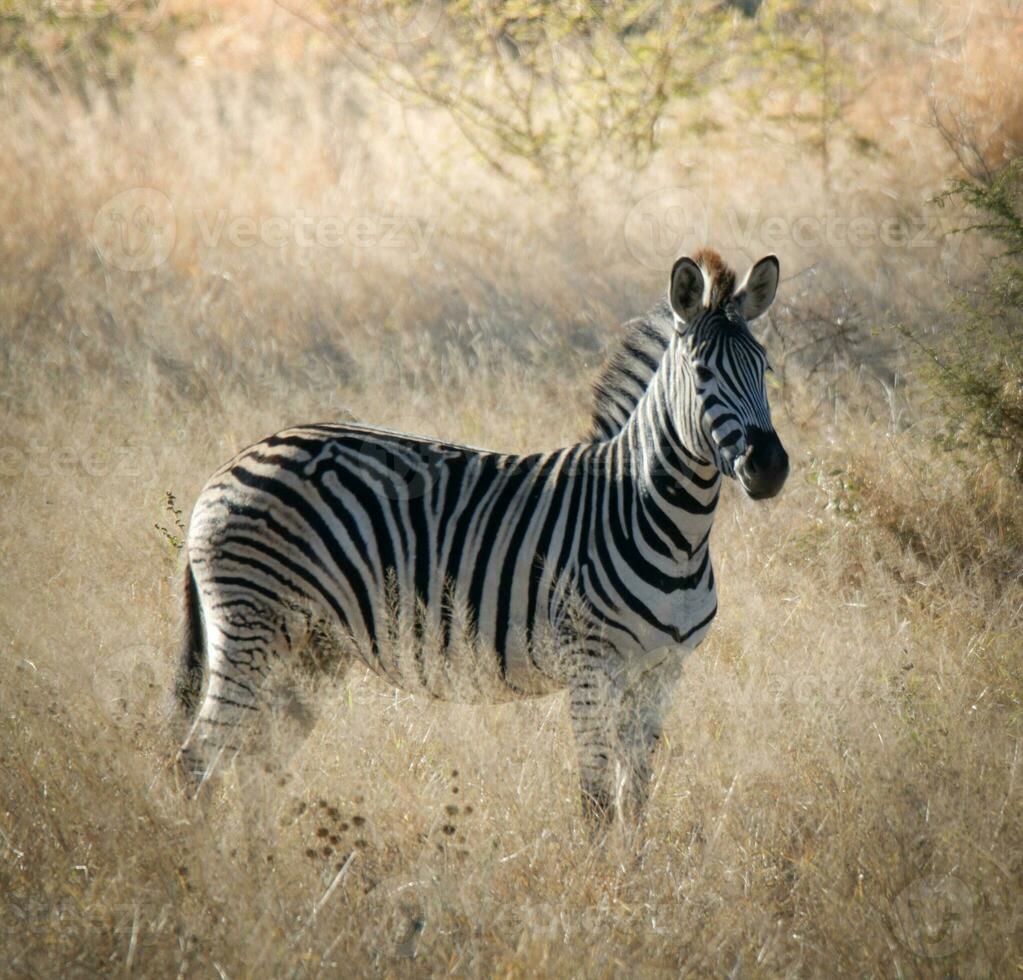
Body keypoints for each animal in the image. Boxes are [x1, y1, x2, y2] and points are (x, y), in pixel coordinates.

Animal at [175, 251, 785, 822]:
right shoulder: (591, 667)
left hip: (310, 645)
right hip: (252, 626)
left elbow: (634, 800)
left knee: (256, 762)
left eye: (765, 366)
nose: (770, 468)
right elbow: (596, 804)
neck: (668, 528)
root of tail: (231, 463)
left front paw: (634, 868)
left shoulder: (661, 673)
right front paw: (596, 871)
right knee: (197, 759)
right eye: (702, 372)